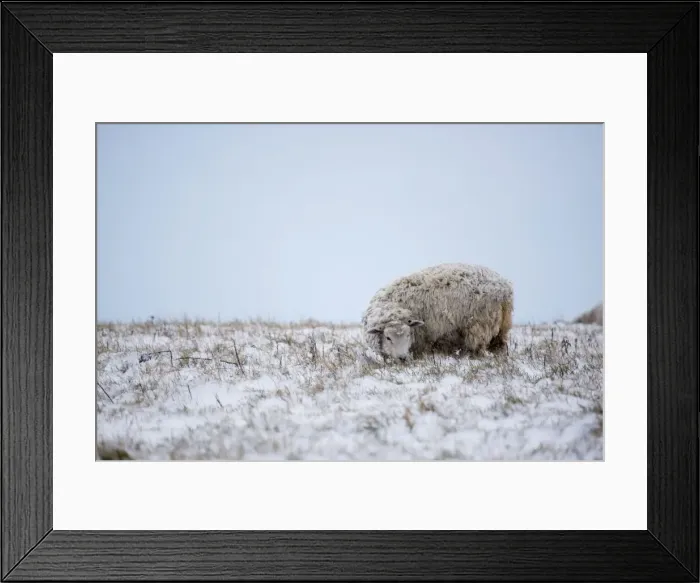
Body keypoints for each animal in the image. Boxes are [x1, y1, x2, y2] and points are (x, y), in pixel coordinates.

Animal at [362, 263, 514, 361]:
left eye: (409, 335)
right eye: (388, 338)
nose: (402, 358)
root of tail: (504, 288)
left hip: (479, 326)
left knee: (479, 348)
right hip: (502, 328)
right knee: (500, 346)